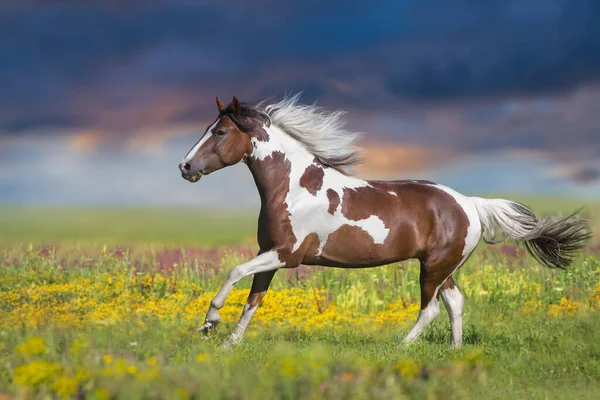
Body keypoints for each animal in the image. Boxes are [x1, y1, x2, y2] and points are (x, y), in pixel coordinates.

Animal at [178, 94, 592, 346]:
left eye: (219, 131)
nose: (185, 167)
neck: (293, 187)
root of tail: (470, 204)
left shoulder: (286, 255)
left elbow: (234, 272)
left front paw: (209, 322)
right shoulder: (270, 254)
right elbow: (253, 300)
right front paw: (227, 342)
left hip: (433, 268)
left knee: (431, 308)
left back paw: (402, 346)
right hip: (443, 266)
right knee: (455, 303)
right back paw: (456, 351)